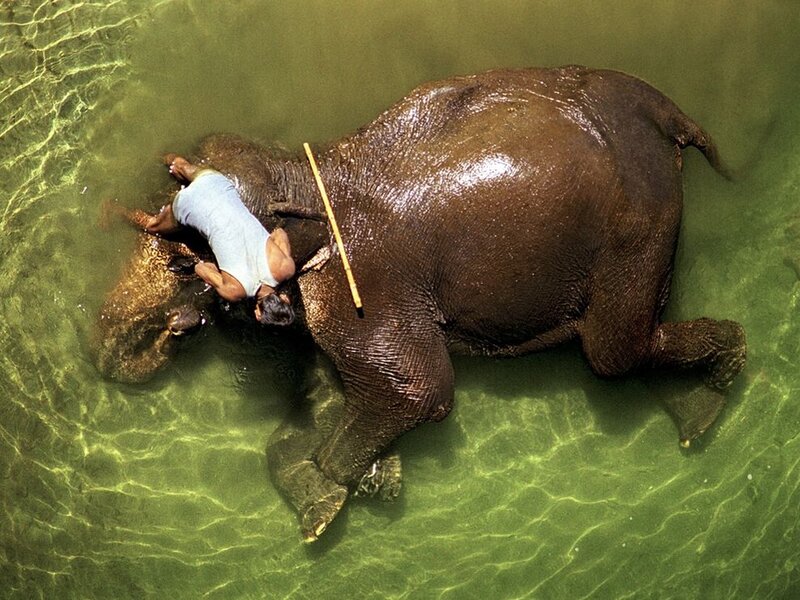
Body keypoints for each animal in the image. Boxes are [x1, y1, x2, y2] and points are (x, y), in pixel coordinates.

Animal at [95, 66, 746, 541]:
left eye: (185, 259)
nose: (111, 355)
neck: (309, 172)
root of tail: (662, 110)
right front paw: (370, 483)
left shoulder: (359, 283)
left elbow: (417, 390)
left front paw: (341, 488)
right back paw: (699, 417)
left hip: (639, 215)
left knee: (611, 351)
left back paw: (724, 372)